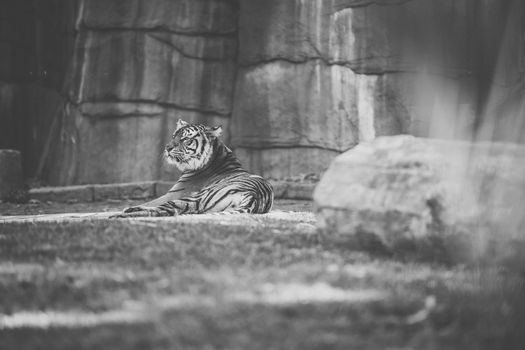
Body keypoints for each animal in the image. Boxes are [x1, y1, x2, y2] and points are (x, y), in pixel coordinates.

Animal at [111, 119, 274, 217]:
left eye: (185, 139)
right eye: (174, 135)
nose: (167, 148)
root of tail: (254, 196)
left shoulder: (174, 193)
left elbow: (151, 202)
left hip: (196, 197)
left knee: (165, 209)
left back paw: (122, 214)